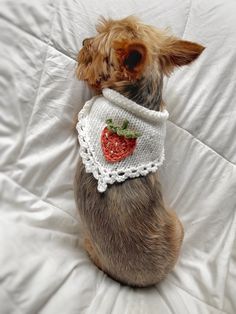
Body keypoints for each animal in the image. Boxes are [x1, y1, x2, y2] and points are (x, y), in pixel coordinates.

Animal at [74, 16, 205, 288]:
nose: (83, 41)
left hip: (94, 245)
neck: (138, 100)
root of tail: (150, 281)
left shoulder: (86, 113)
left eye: (93, 51)